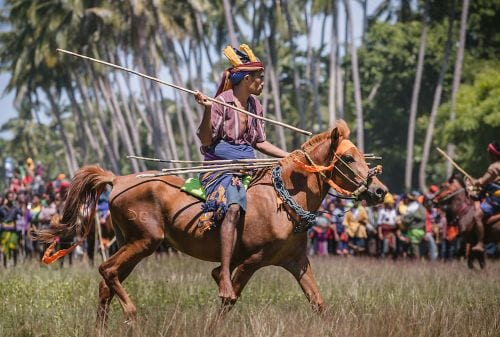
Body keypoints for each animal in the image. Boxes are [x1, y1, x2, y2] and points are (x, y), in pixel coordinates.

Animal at [36, 121, 386, 328]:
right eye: (348, 159)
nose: (380, 191)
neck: (281, 200)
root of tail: (118, 179)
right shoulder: (252, 259)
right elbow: (227, 293)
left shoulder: (295, 260)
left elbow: (318, 302)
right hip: (145, 240)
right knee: (106, 271)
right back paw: (133, 315)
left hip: (130, 243)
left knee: (106, 283)